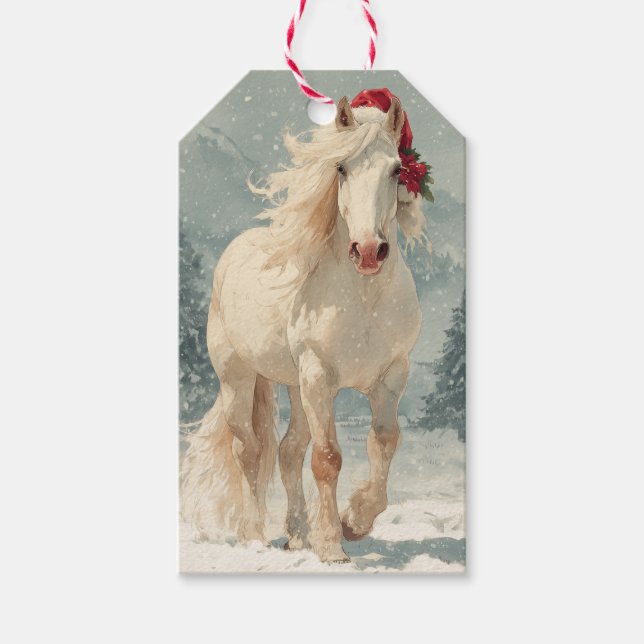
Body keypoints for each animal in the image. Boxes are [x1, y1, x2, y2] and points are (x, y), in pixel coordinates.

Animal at [181, 95, 427, 563]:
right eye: (341, 168)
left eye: (395, 170)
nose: (369, 251)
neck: (363, 298)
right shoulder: (319, 377)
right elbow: (328, 458)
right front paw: (332, 546)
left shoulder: (392, 377)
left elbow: (385, 441)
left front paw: (355, 522)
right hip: (239, 378)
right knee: (249, 449)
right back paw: (254, 535)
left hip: (293, 386)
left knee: (288, 451)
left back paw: (296, 533)